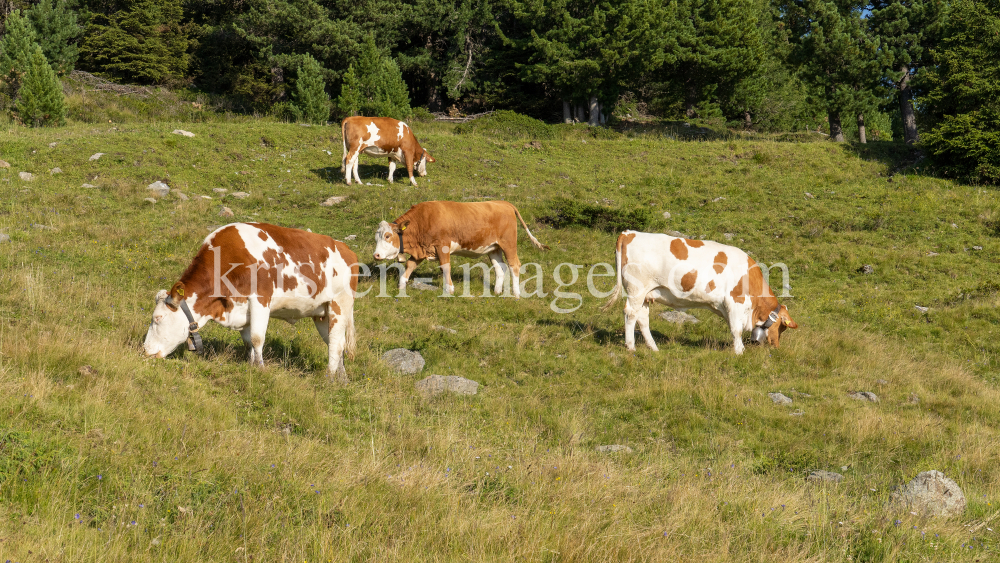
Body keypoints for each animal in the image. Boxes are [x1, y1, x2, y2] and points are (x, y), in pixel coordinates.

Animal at [141, 224, 360, 378]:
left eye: (158, 318)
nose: (144, 351)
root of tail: (346, 249)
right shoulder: (242, 308)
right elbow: (248, 341)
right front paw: (251, 365)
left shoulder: (261, 299)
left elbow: (256, 338)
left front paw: (260, 369)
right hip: (322, 314)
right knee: (336, 342)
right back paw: (342, 378)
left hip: (340, 304)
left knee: (335, 344)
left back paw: (329, 378)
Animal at [374, 203, 552, 300]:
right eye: (376, 237)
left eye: (388, 236)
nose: (376, 255)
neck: (423, 220)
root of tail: (503, 203)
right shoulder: (423, 249)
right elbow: (410, 265)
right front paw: (401, 285)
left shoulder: (442, 246)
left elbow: (445, 267)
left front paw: (449, 289)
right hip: (494, 248)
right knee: (500, 267)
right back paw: (496, 291)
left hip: (508, 244)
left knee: (514, 265)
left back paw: (515, 294)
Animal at [600, 231, 796, 354]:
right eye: (782, 327)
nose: (776, 346)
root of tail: (629, 233)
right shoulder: (735, 302)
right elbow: (736, 330)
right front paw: (739, 351)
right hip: (636, 289)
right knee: (630, 314)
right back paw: (631, 346)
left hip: (646, 294)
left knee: (642, 318)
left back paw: (653, 348)